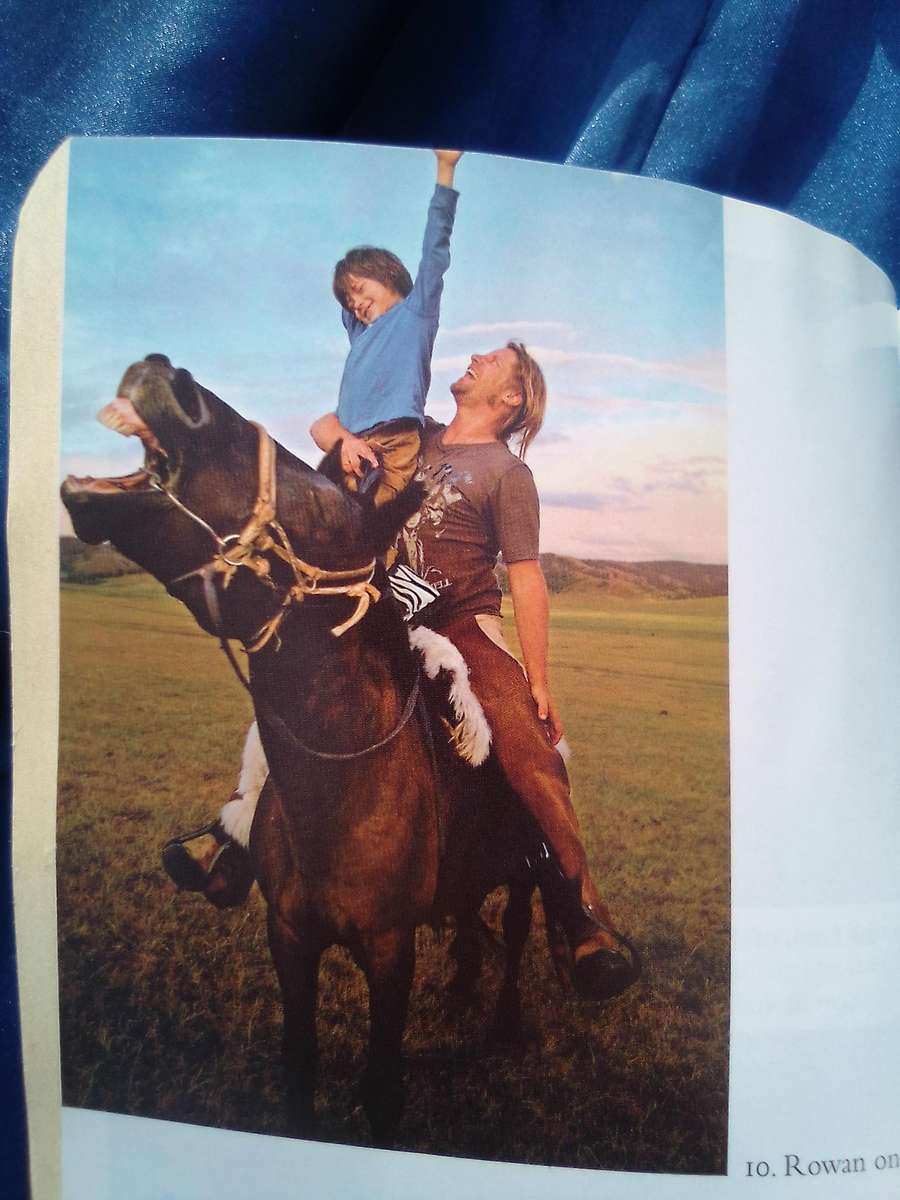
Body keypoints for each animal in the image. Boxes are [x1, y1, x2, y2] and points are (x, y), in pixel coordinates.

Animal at [61, 354, 639, 1145]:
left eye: (320, 512)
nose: (167, 375)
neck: (342, 793)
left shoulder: (390, 949)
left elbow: (380, 1085)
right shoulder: (289, 937)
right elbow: (299, 1066)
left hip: (527, 856)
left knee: (519, 929)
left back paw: (514, 1013)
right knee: (468, 914)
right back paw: (461, 982)